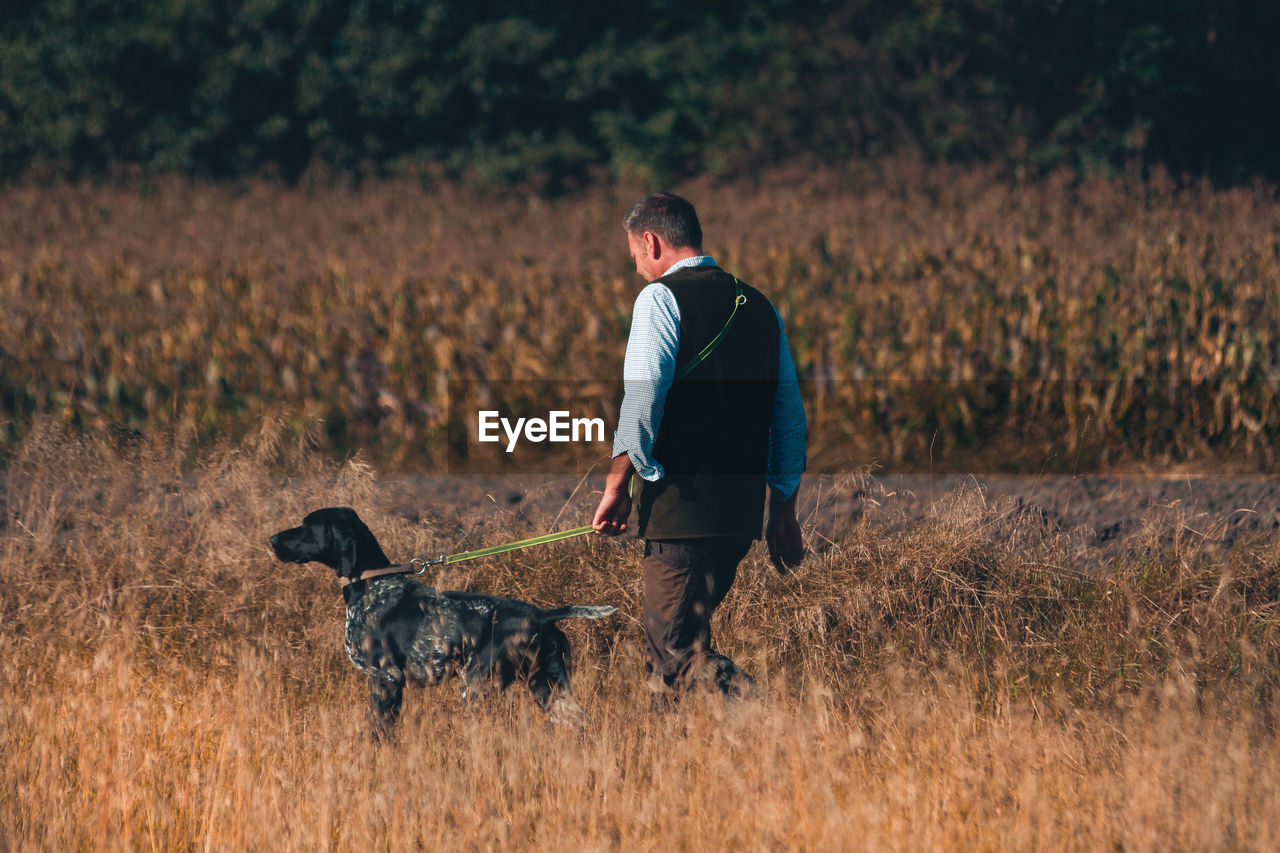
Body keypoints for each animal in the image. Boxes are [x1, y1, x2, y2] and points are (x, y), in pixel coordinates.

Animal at [270, 504, 614, 732]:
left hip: (477, 686)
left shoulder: (384, 679)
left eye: (307, 525)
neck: (371, 583)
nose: (271, 540)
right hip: (549, 686)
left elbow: (379, 733)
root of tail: (542, 616)